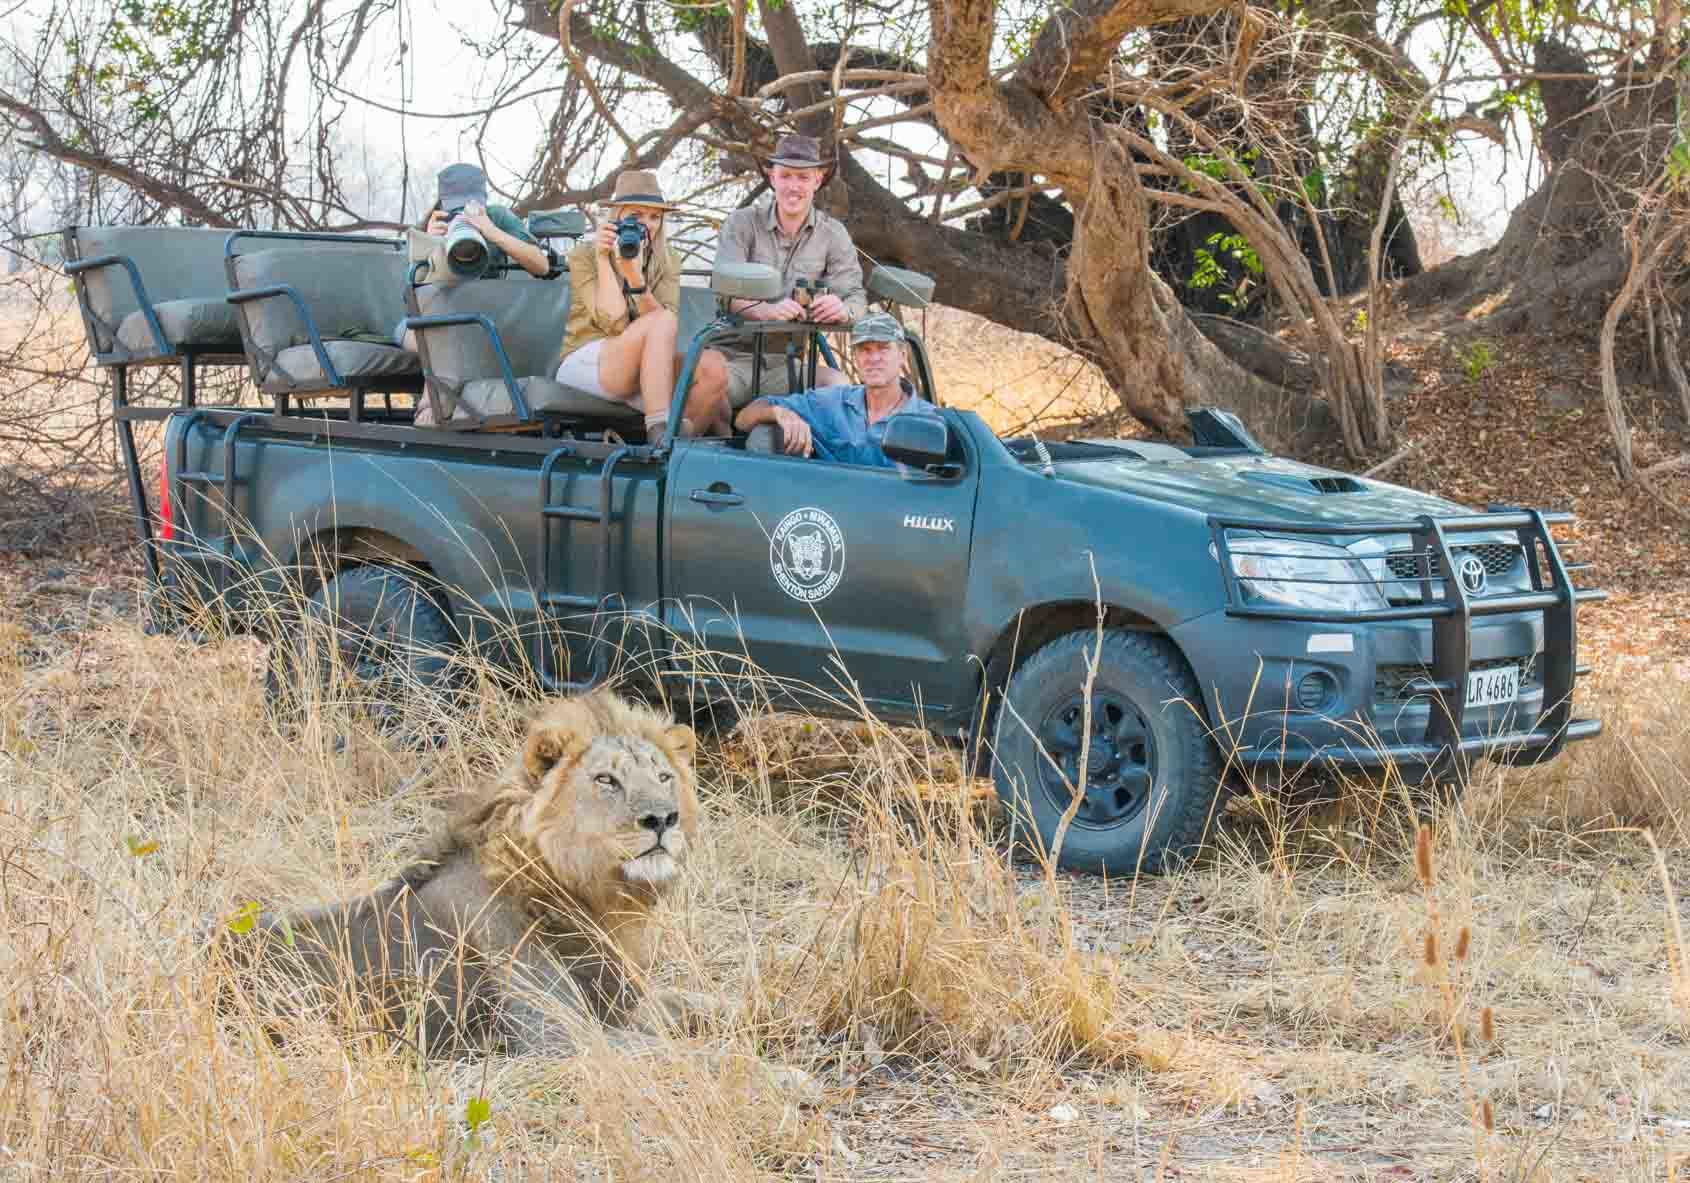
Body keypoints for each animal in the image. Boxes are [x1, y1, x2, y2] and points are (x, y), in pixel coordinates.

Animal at [218, 687, 719, 1059]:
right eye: (606, 781)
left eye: (664, 777)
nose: (663, 818)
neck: (593, 895)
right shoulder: (562, 1037)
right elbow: (693, 1058)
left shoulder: (628, 1002)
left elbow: (705, 1003)